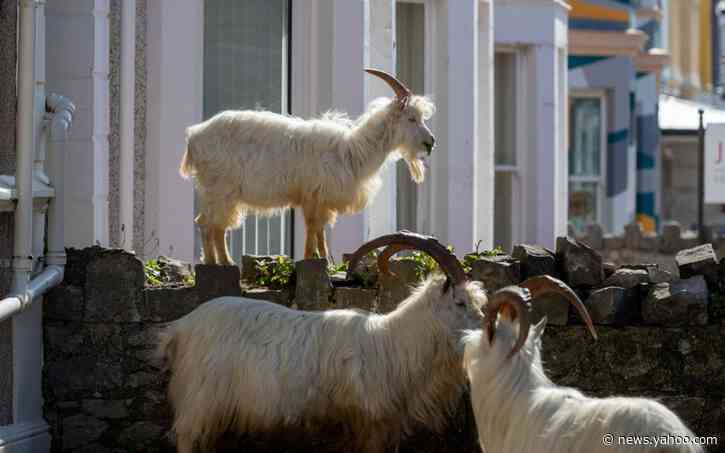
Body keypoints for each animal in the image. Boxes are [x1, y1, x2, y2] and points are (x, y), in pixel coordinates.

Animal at [157, 231, 583, 453]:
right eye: (460, 302)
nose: (485, 335)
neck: (394, 344)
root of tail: (181, 328)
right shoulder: (370, 424)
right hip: (197, 406)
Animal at [180, 69, 435, 264]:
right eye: (411, 118)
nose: (431, 142)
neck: (354, 150)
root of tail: (194, 136)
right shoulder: (313, 196)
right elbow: (313, 229)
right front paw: (309, 259)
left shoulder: (320, 200)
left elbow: (320, 232)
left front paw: (325, 261)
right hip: (221, 189)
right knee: (211, 225)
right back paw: (221, 263)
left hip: (218, 192)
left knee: (209, 224)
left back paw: (217, 262)